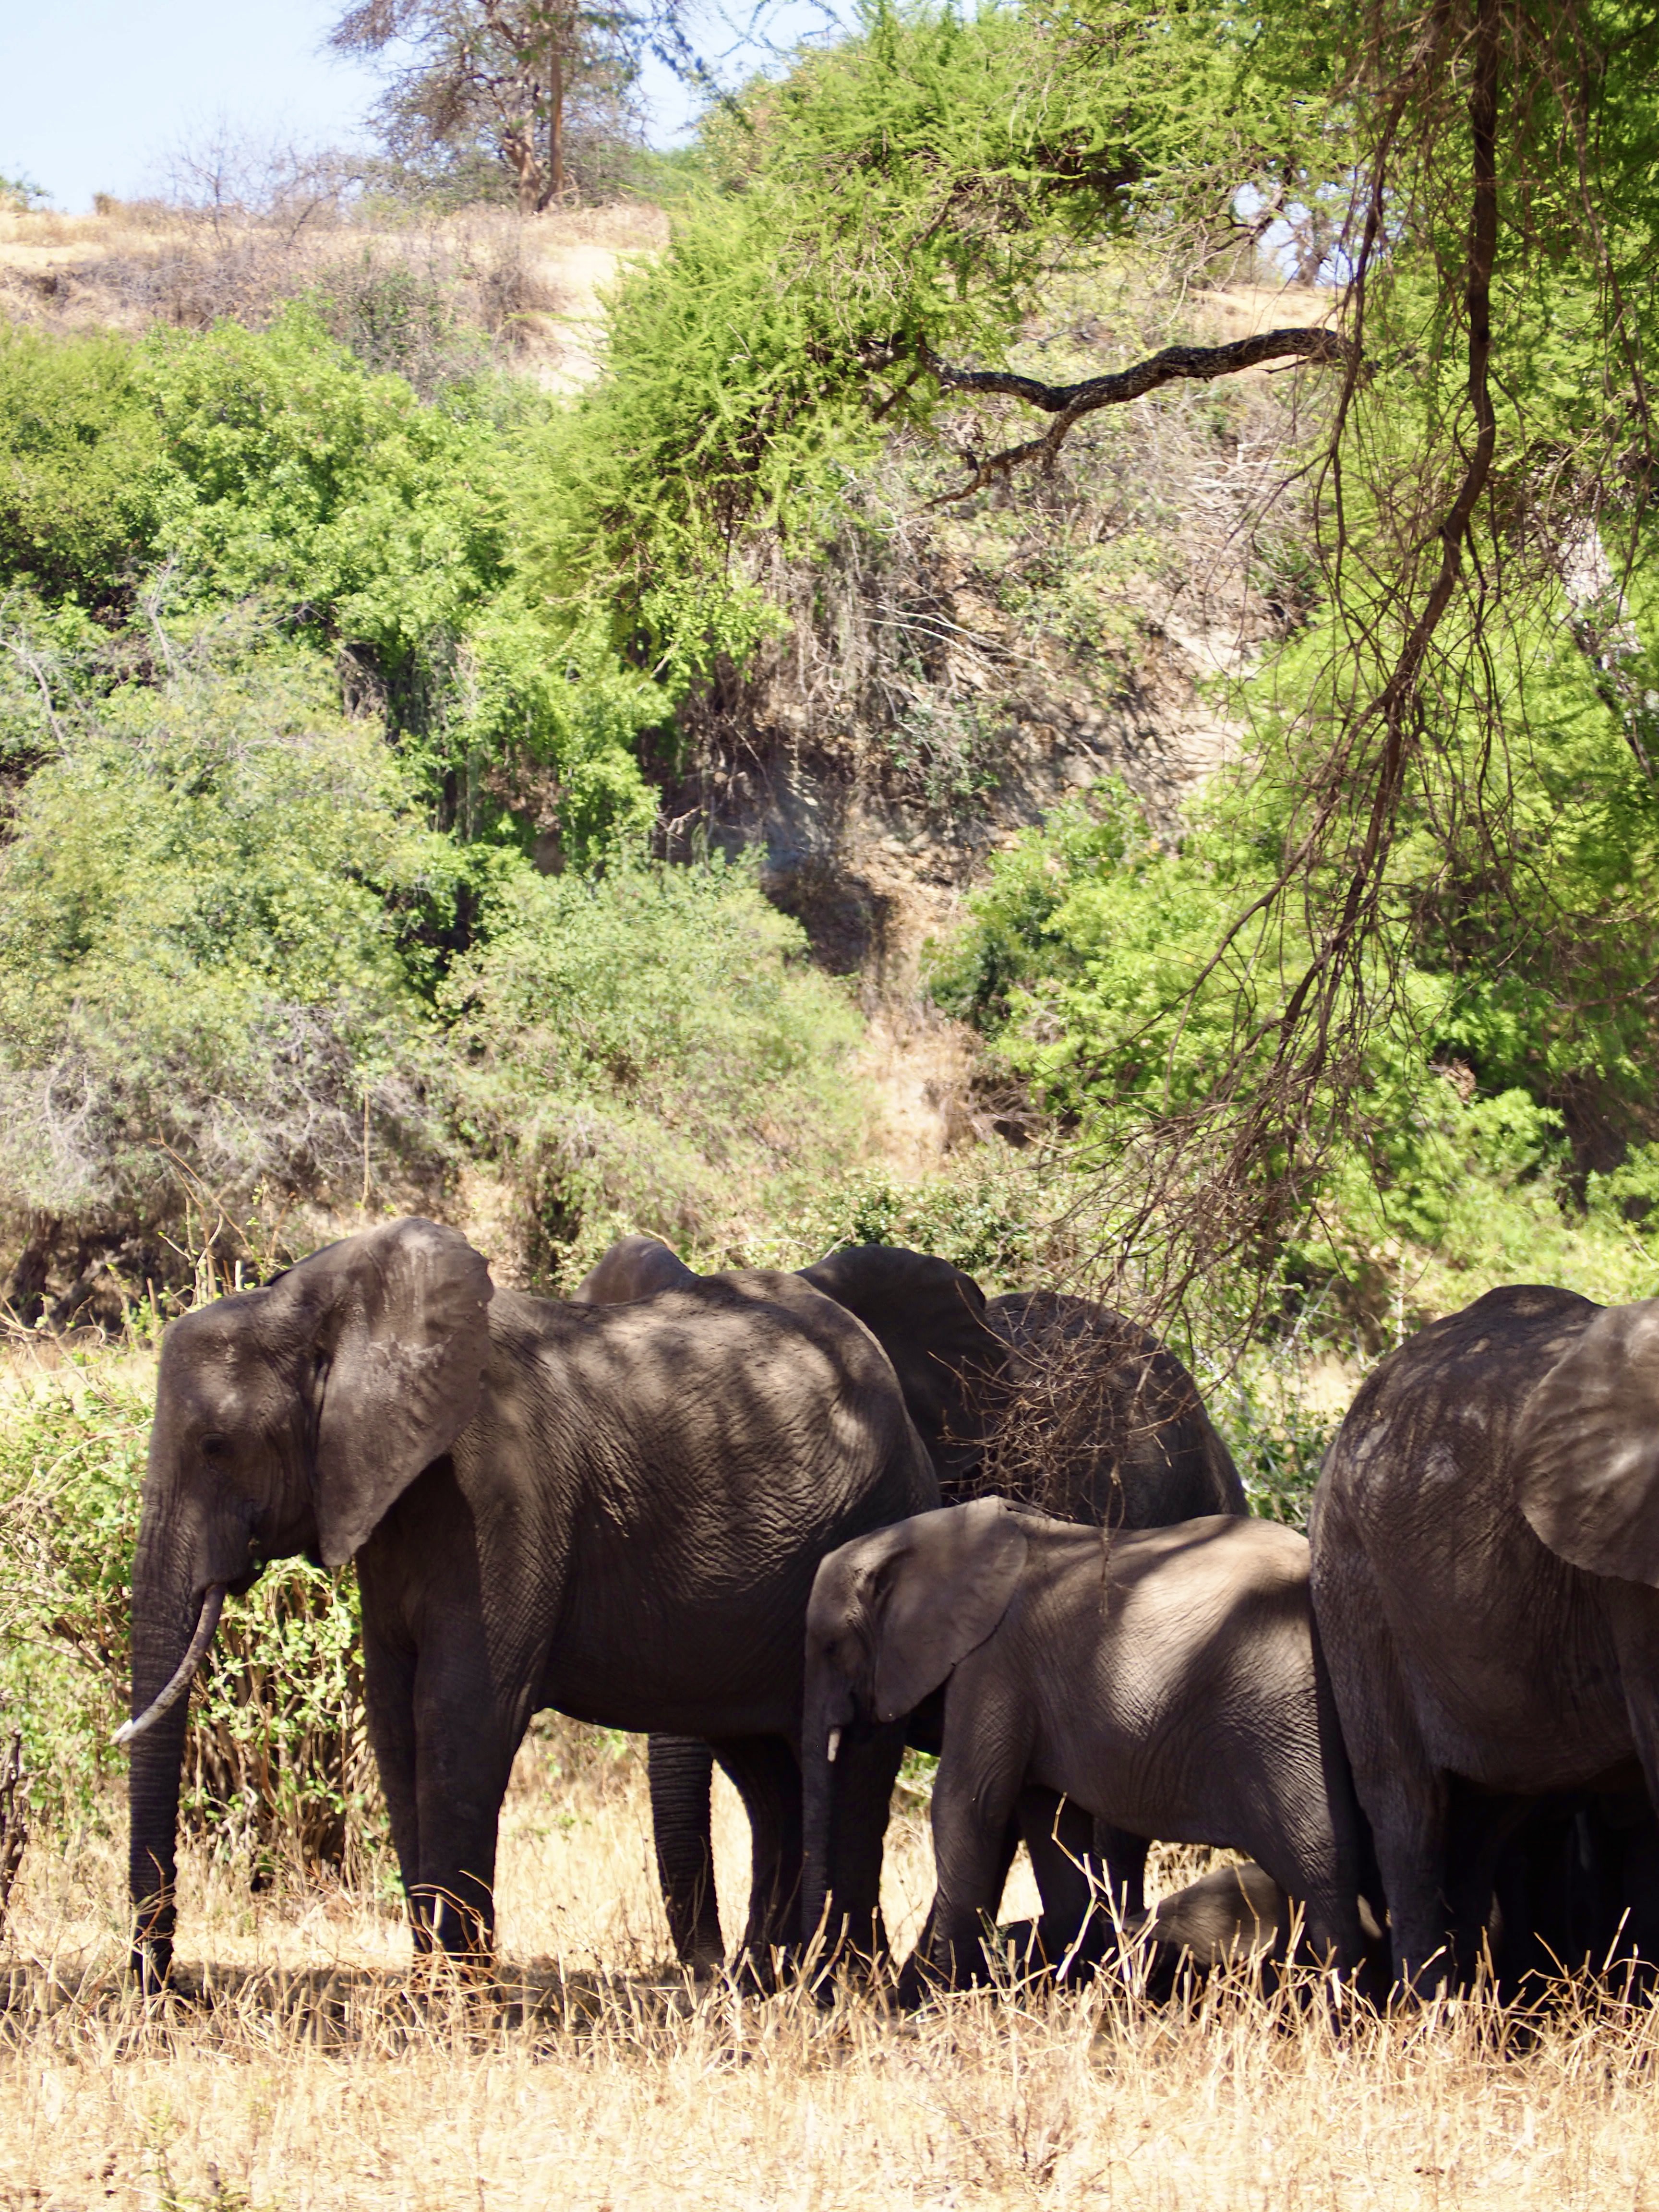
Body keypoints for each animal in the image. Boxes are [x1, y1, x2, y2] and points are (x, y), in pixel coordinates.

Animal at [123, 1221, 942, 1982]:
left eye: (218, 1446)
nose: (168, 1989)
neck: (334, 1314)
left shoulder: (506, 1491)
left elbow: (461, 1712)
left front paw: (454, 2003)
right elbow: (394, 1716)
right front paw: (433, 1990)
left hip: (875, 1518)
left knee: (846, 1760)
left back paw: (842, 1986)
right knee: (770, 1766)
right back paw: (772, 1984)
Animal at [801, 1504, 1362, 1991]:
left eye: (829, 1646)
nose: (823, 1989)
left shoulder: (992, 1664)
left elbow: (968, 1809)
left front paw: (941, 2004)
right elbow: (1051, 1827)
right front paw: (1077, 1994)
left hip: (1283, 1712)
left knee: (1321, 1861)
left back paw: (1345, 2013)